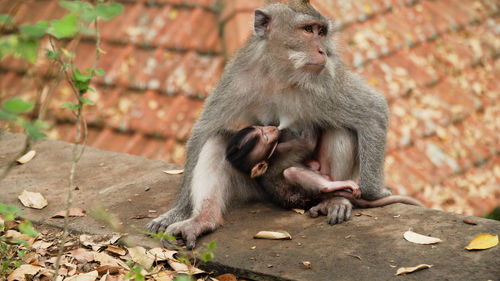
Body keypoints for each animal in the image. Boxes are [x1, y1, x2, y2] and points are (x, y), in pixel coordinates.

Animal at [146, 0, 392, 247]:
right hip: (254, 188)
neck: (279, 72)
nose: (323, 50)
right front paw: (177, 212)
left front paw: (374, 193)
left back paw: (336, 199)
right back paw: (203, 219)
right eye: (308, 30)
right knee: (218, 140)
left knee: (341, 128)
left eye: (321, 32)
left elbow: (372, 110)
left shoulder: (326, 80)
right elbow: (204, 131)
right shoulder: (238, 77)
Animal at [225, 126, 424, 211]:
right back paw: (331, 186)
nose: (273, 127)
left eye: (262, 128)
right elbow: (307, 142)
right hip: (302, 191)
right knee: (292, 172)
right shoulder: (283, 151)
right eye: (264, 136)